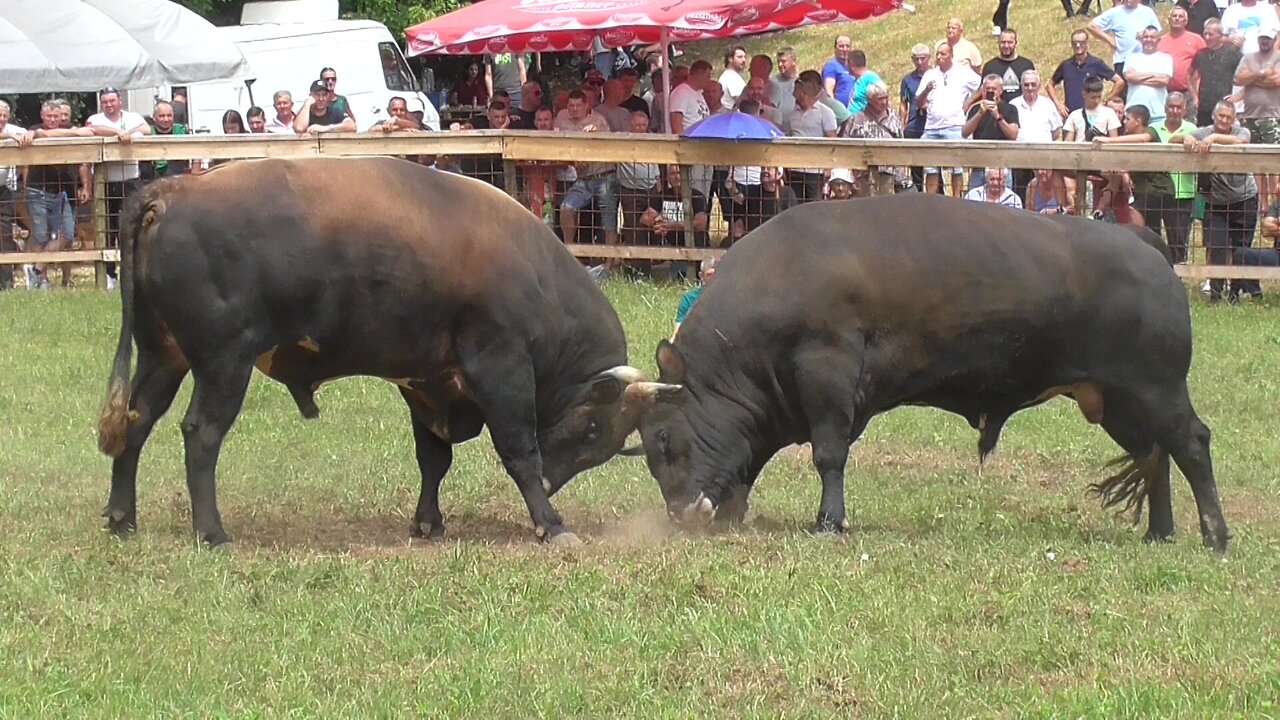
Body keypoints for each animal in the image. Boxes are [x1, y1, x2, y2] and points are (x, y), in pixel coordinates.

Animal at [97, 156, 670, 543]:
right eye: (591, 428)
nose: (553, 484)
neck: (535, 273)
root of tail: (172, 190)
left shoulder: (428, 382)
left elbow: (433, 459)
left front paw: (428, 523)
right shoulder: (499, 368)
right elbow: (518, 451)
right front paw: (550, 524)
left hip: (164, 356)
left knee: (135, 422)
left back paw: (123, 519)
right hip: (223, 364)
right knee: (201, 435)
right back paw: (212, 532)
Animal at [637, 192, 1228, 548]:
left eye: (662, 439)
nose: (680, 514)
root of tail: (1141, 241)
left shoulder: (827, 372)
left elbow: (829, 454)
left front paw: (829, 522)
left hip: (1158, 388)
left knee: (1191, 444)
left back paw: (1214, 535)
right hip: (1118, 399)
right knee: (1155, 455)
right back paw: (1160, 532)